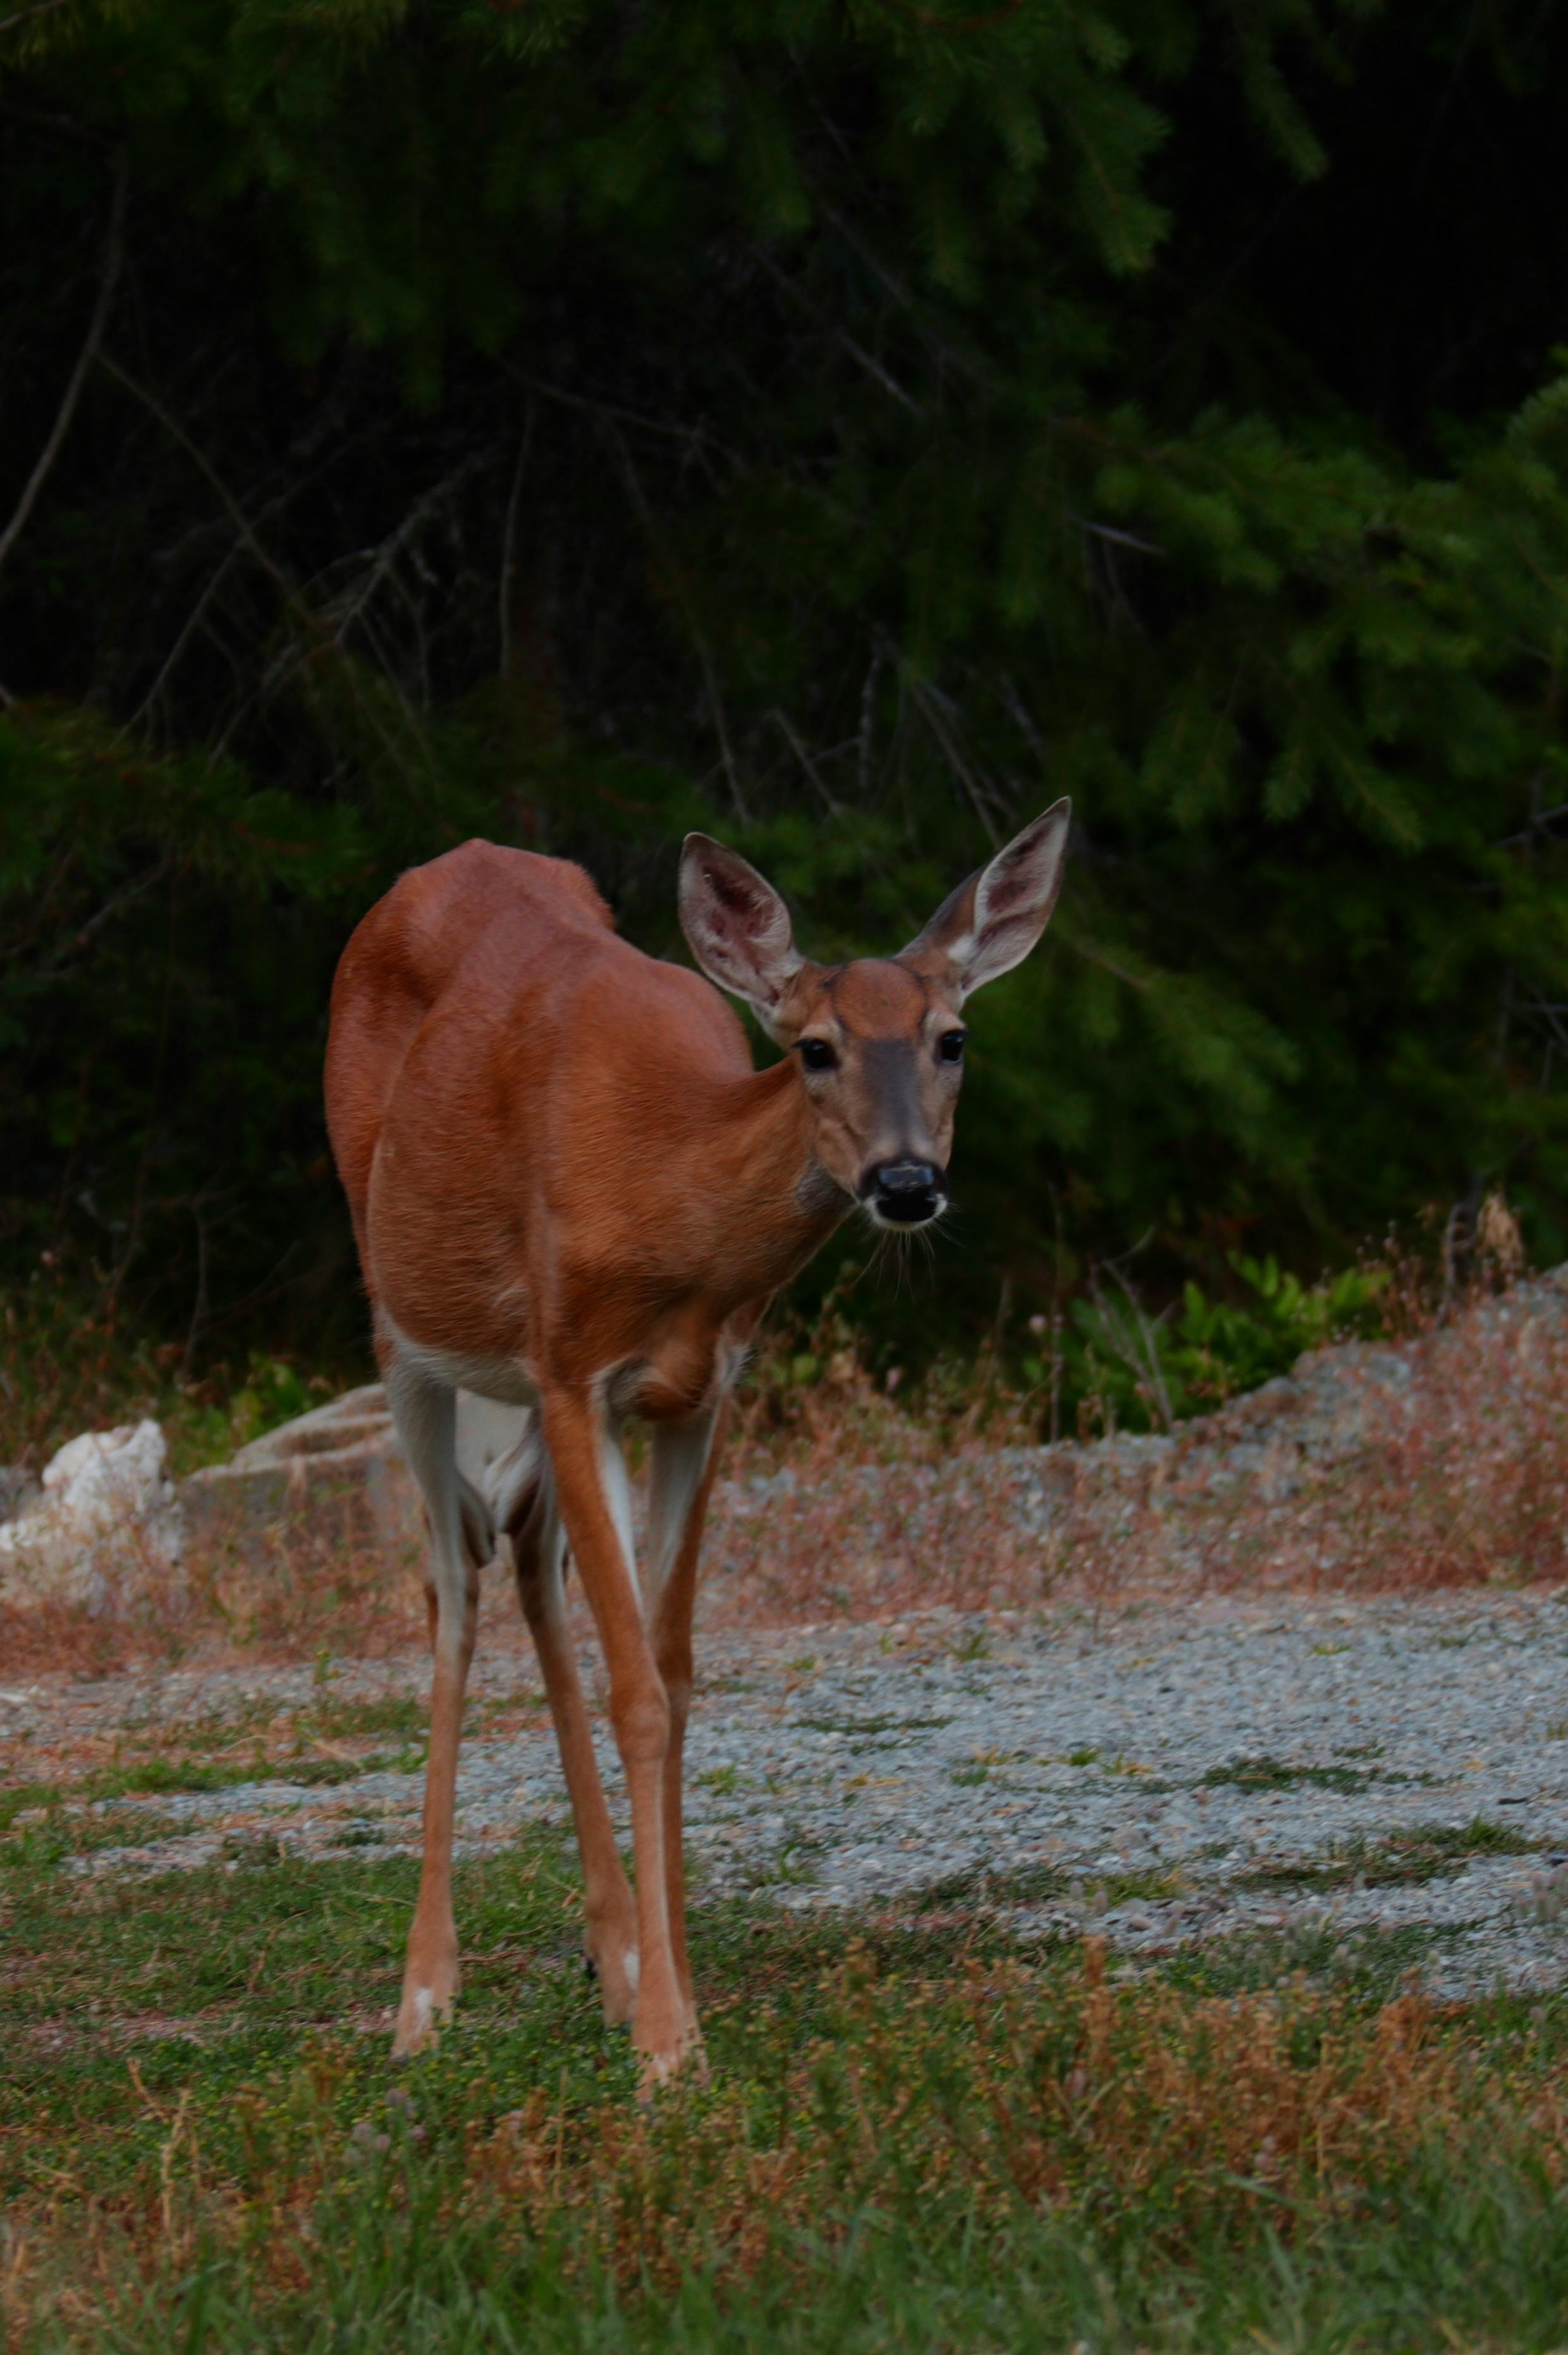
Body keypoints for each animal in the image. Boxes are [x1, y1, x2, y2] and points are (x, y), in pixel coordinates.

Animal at [323, 799, 1071, 2093]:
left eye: (954, 1038)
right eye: (815, 1046)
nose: (906, 1180)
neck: (667, 1196)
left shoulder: (699, 1397)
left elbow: (671, 1675)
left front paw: (671, 1990)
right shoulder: (574, 1367)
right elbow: (635, 1690)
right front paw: (672, 2048)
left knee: (527, 1553)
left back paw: (612, 1949)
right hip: (401, 1318)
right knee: (451, 1586)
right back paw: (424, 1993)